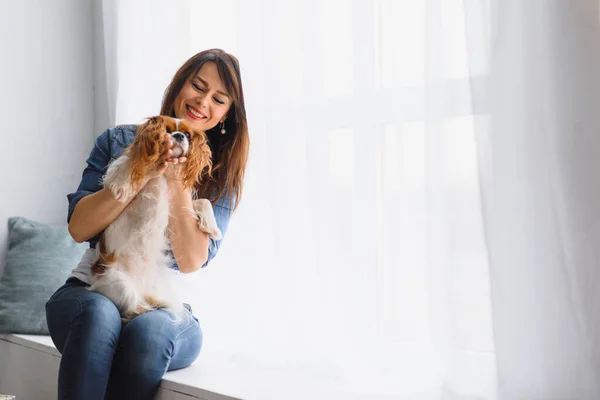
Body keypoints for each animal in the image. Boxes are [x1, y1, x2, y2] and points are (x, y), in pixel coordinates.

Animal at [88, 115, 221, 322]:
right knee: (127, 311)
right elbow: (126, 164)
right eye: (168, 130)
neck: (165, 174)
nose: (179, 135)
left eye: (187, 135)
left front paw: (212, 227)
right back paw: (142, 309)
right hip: (121, 286)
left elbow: (203, 201)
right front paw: (121, 185)